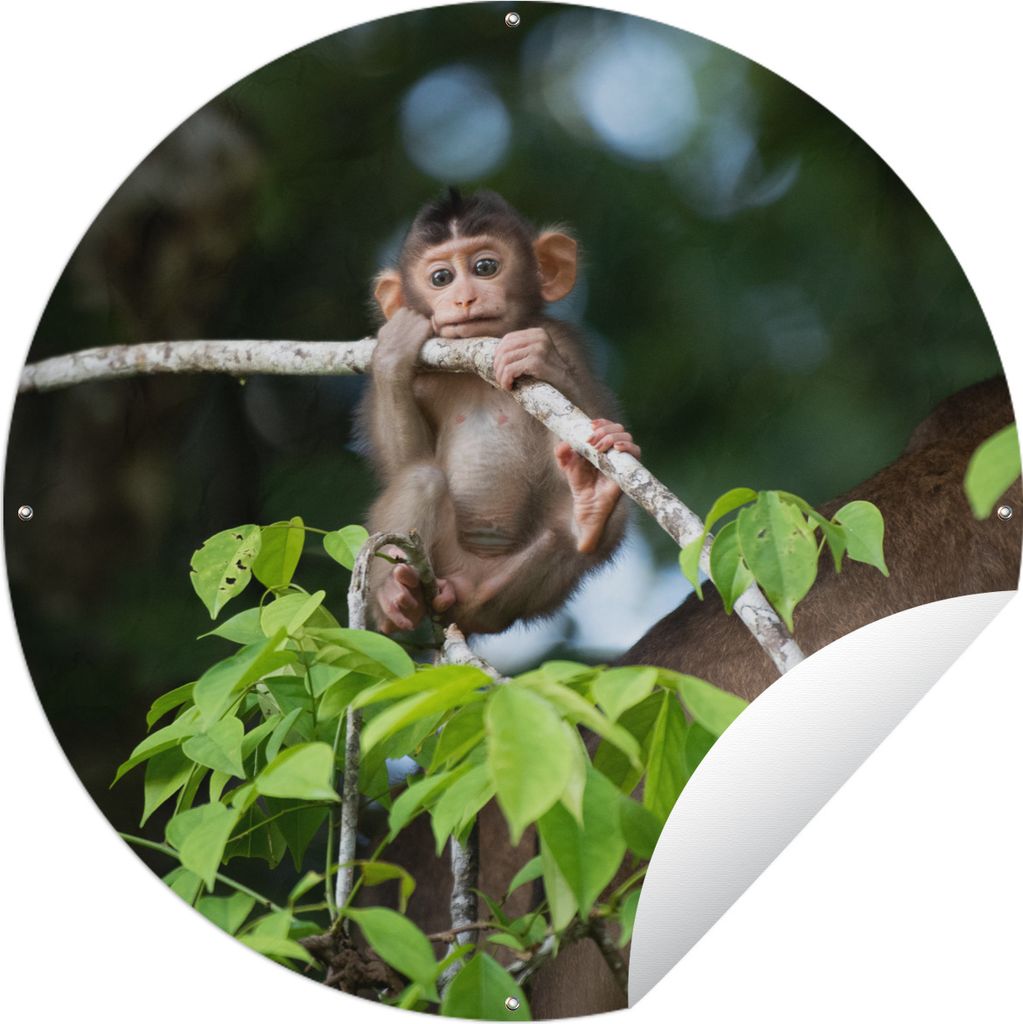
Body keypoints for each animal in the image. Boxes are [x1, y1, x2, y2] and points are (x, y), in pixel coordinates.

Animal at [359, 189, 640, 636]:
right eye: (441, 278)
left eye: (485, 267)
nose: (465, 298)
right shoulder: (424, 374)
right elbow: (402, 462)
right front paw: (393, 352)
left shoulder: (564, 339)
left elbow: (578, 416)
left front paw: (540, 359)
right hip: (440, 563)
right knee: (421, 478)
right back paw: (395, 599)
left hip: (502, 591)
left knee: (600, 527)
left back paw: (590, 512)